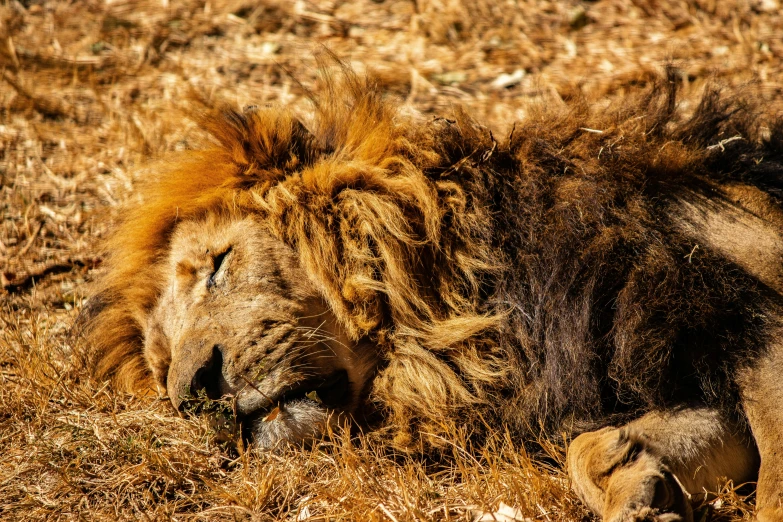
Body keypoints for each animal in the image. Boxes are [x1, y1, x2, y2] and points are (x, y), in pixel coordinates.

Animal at [78, 66, 783, 520]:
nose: (195, 391)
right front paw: (636, 483)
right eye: (162, 370)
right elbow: (596, 447)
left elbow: (776, 476)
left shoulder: (747, 318)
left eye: (217, 264)